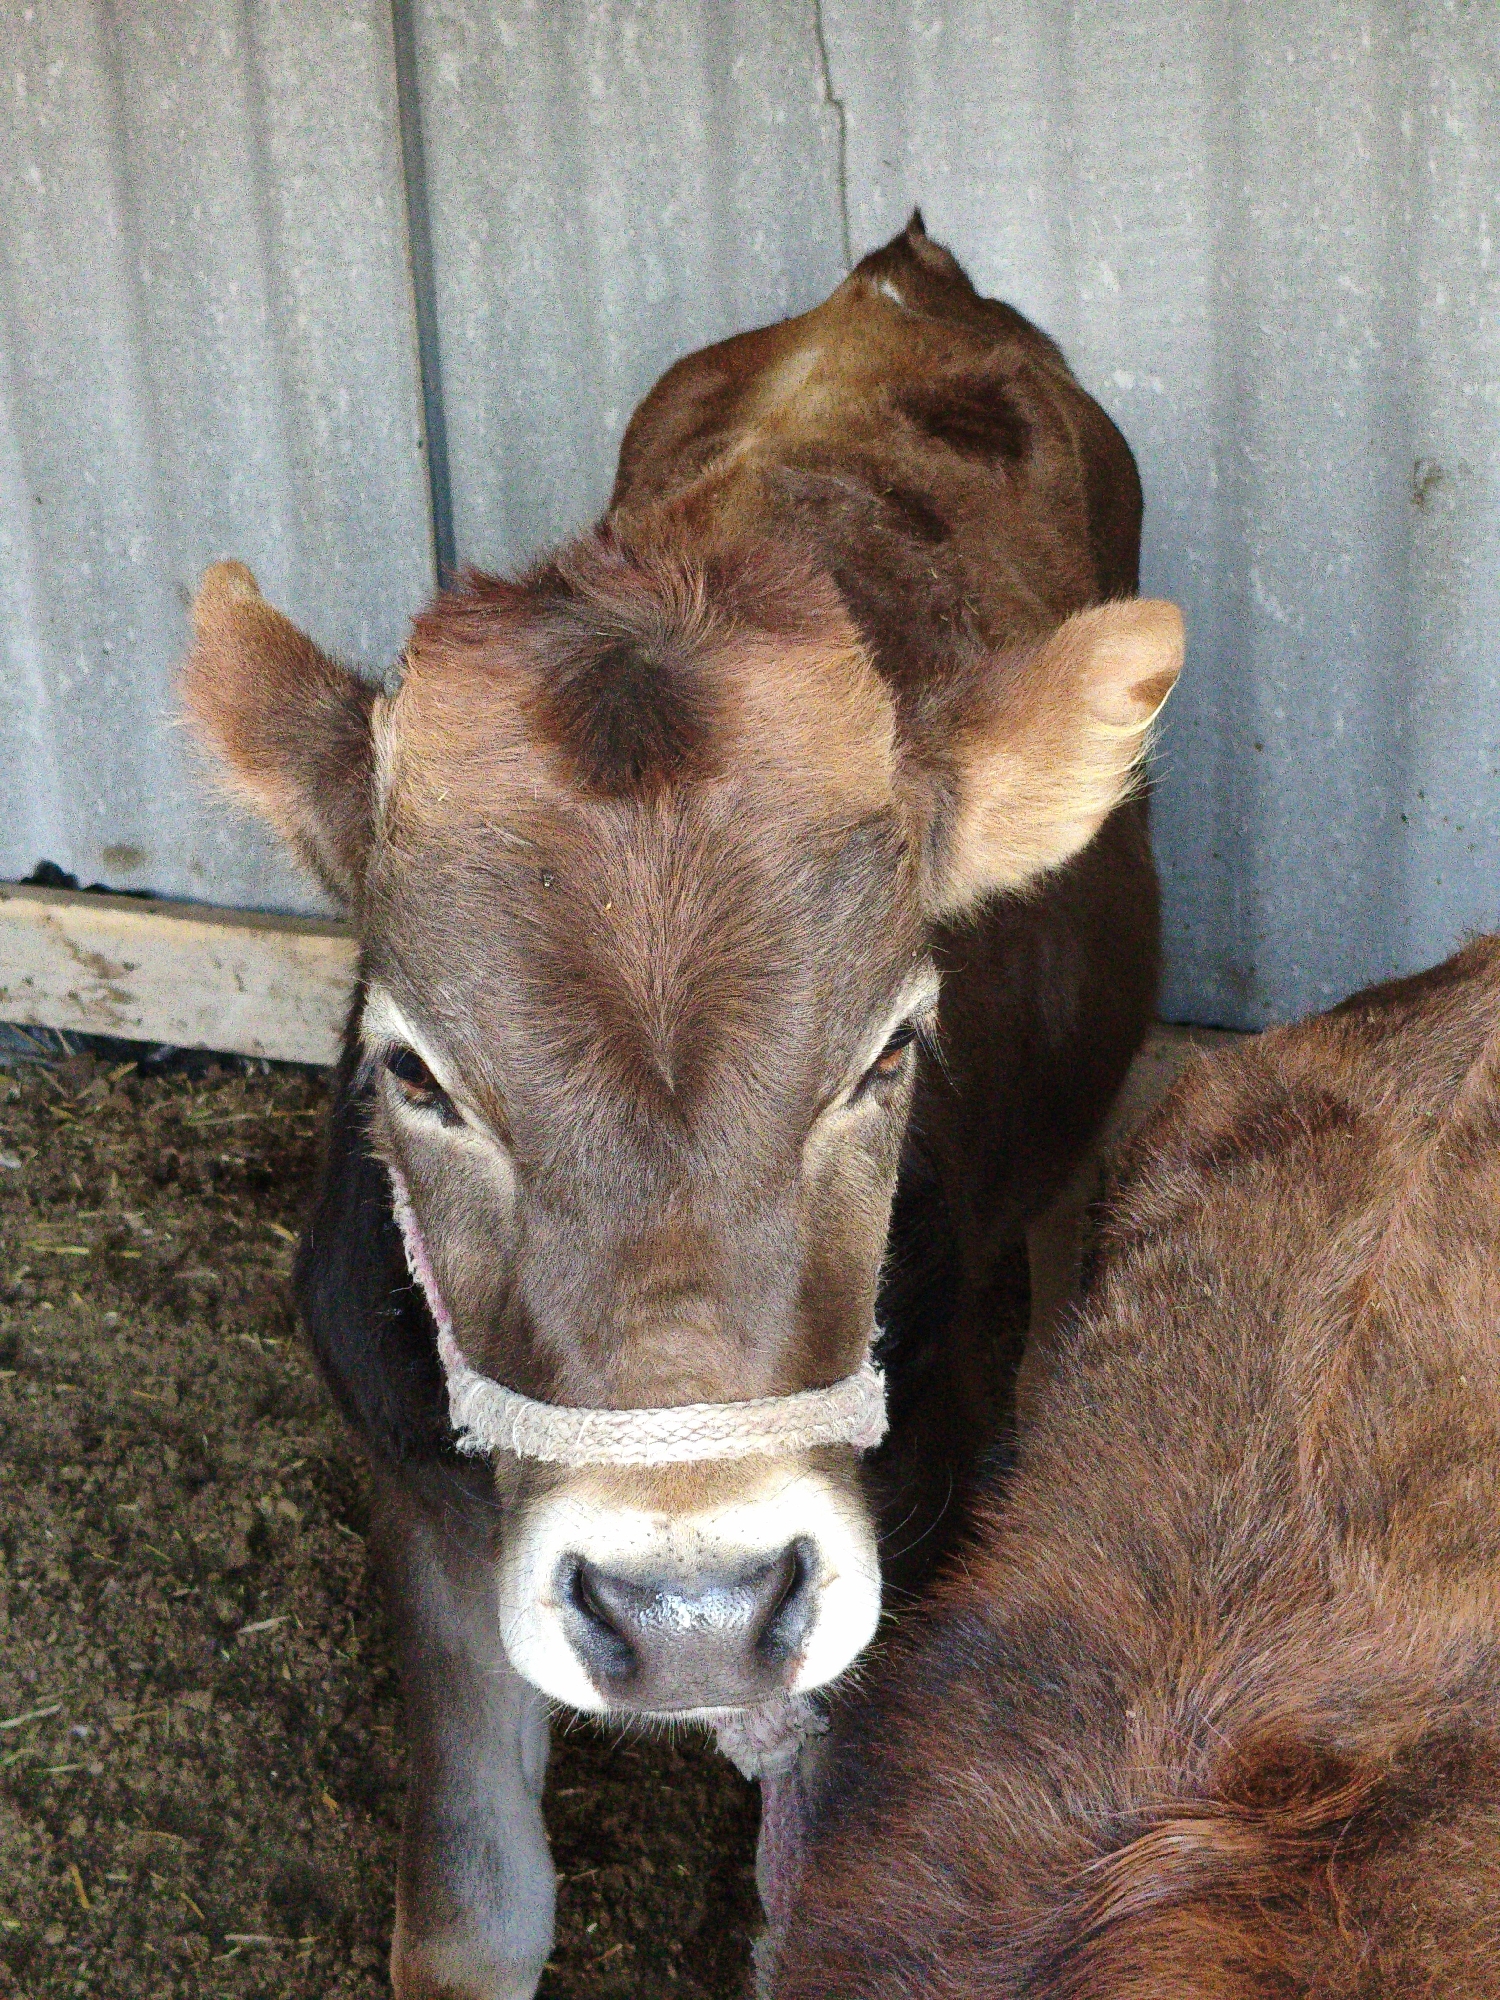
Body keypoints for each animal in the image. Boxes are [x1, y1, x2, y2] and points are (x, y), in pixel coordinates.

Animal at [181, 213, 1182, 1999]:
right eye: (413, 1071)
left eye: (890, 1052)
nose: (693, 1609)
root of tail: (897, 279)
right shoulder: (417, 1487)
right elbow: (470, 1913)